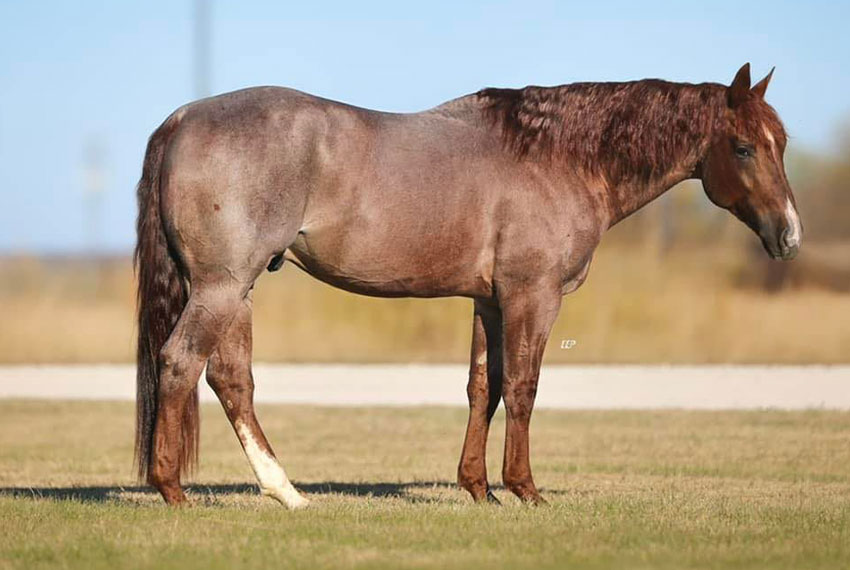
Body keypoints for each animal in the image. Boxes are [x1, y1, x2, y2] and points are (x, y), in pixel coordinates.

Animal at [134, 63, 801, 507]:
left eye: (782, 143)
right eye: (744, 147)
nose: (790, 235)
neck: (557, 159)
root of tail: (183, 118)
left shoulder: (489, 300)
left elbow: (487, 387)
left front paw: (479, 490)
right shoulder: (533, 295)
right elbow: (526, 387)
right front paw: (526, 490)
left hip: (234, 291)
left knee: (230, 381)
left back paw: (287, 493)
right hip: (221, 287)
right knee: (180, 362)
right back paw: (174, 491)